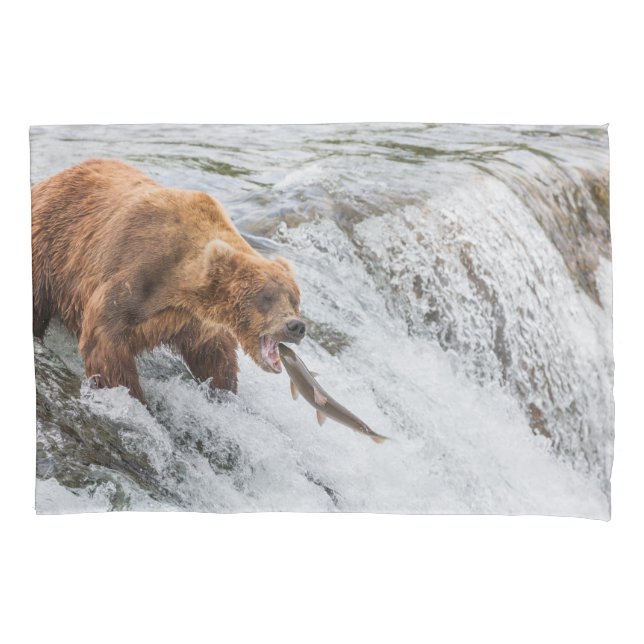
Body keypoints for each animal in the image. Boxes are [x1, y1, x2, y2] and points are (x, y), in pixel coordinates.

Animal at [32, 159, 305, 403]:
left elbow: (215, 355)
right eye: (266, 297)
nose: (296, 326)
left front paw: (223, 391)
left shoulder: (192, 319)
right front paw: (134, 397)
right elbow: (104, 343)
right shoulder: (134, 276)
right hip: (49, 250)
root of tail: (50, 180)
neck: (179, 283)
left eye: (294, 299)